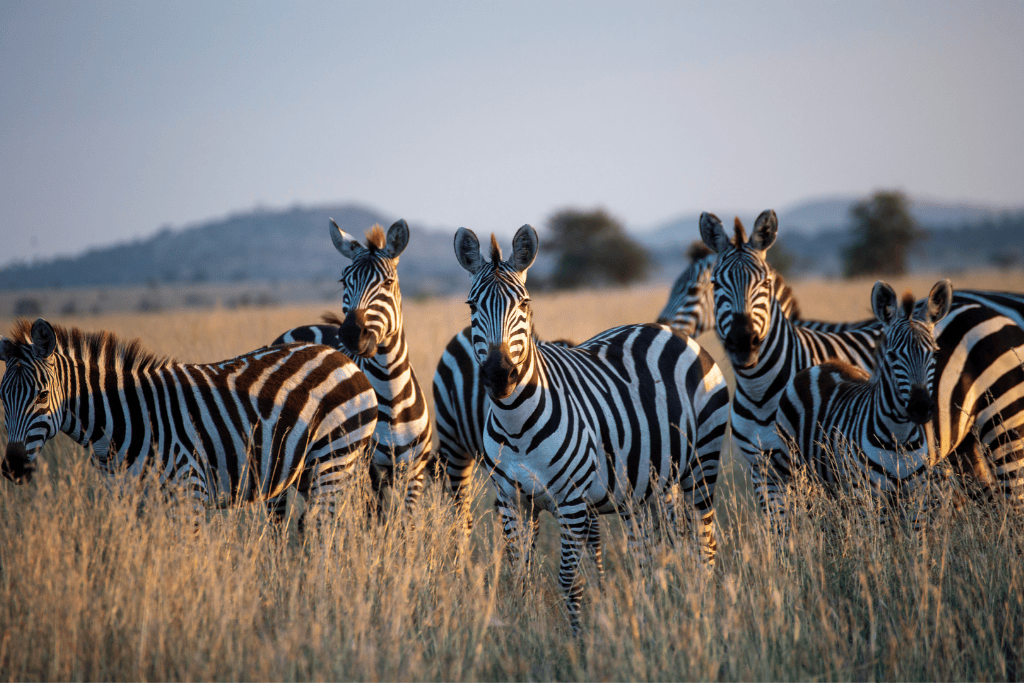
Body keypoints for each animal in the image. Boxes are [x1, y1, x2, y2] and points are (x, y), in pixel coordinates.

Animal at [0, 318, 378, 528]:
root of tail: (341, 356)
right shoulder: (127, 502)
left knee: (326, 527)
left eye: (42, 395)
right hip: (308, 470)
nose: (13, 467)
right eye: (1, 398)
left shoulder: (188, 492)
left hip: (334, 458)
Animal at [271, 218, 434, 519]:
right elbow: (373, 524)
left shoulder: (413, 474)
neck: (391, 393)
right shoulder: (364, 473)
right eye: (344, 280)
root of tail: (303, 328)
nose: (350, 333)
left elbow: (403, 525)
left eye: (388, 282)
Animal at [453, 224, 730, 633]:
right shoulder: (511, 500)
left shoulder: (570, 502)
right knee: (651, 552)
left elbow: (569, 579)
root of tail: (672, 332)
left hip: (702, 465)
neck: (516, 424)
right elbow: (520, 576)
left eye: (524, 305)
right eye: (472, 307)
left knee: (704, 542)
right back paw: (652, 611)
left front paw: (578, 638)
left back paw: (705, 609)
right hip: (648, 486)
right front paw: (524, 630)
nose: (500, 376)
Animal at [773, 279, 952, 524]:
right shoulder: (869, 499)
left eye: (934, 354)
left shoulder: (917, 499)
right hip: (792, 471)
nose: (921, 407)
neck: (899, 438)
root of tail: (823, 365)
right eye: (892, 356)